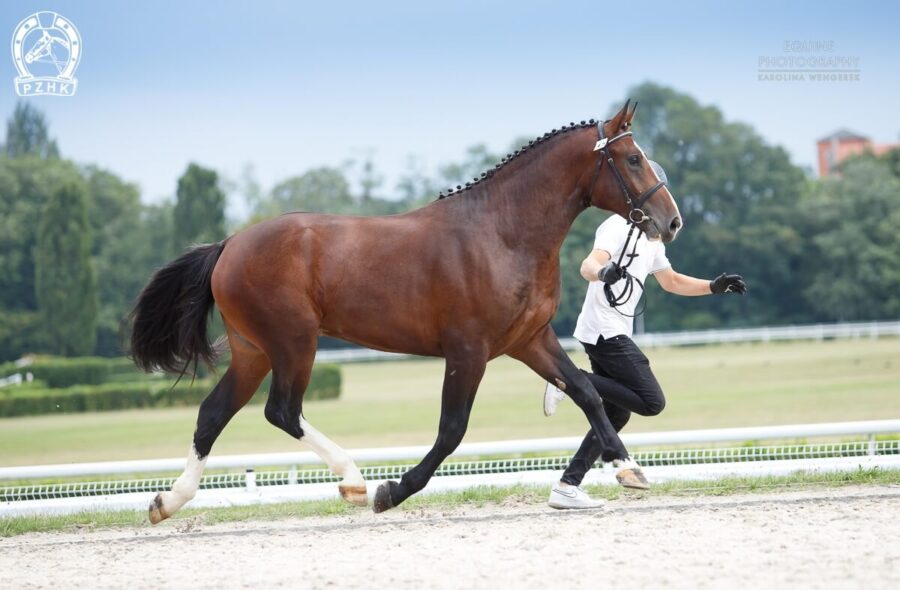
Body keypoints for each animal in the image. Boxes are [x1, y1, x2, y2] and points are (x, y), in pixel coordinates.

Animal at [132, 100, 684, 524]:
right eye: (633, 159)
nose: (671, 222)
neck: (501, 233)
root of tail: (229, 245)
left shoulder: (530, 340)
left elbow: (586, 391)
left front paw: (628, 469)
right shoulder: (468, 351)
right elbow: (452, 430)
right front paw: (391, 491)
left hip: (253, 351)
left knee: (212, 414)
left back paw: (168, 501)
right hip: (293, 343)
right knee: (281, 410)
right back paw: (355, 481)